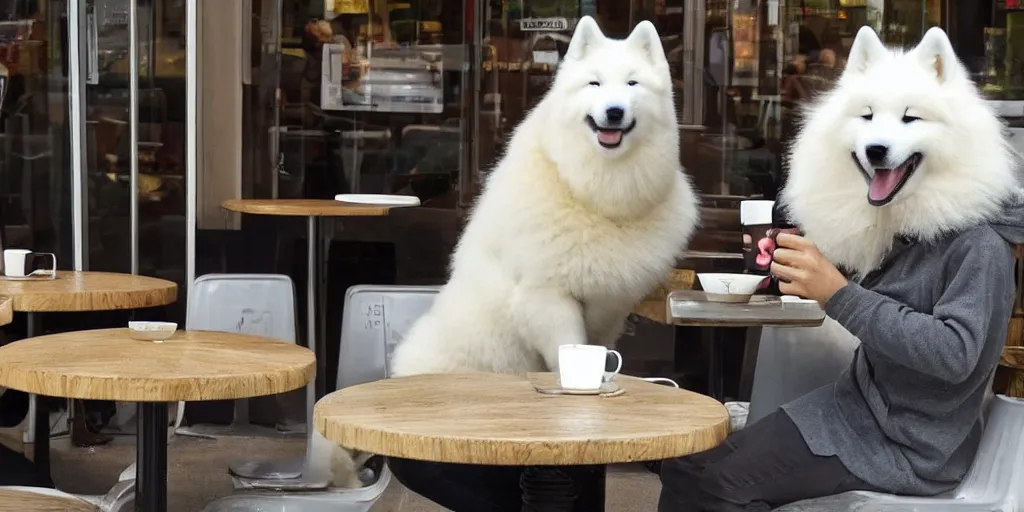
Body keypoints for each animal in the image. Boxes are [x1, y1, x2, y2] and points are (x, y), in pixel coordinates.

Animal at [311, 16, 700, 487]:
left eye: (632, 83)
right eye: (594, 83)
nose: (613, 112)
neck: (593, 191)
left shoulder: (610, 309)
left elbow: (599, 353)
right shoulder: (547, 298)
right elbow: (567, 350)